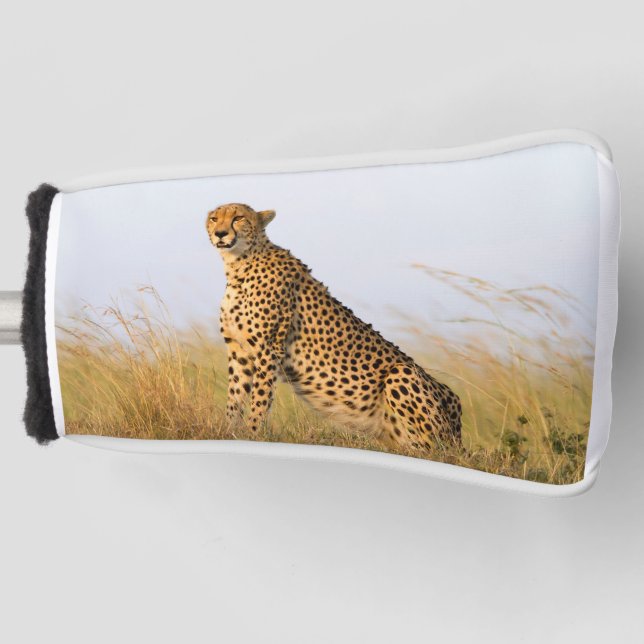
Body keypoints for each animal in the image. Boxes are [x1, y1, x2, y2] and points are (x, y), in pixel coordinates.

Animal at [206, 202, 461, 453]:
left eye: (238, 218)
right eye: (214, 219)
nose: (220, 233)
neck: (239, 264)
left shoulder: (268, 350)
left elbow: (259, 399)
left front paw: (252, 436)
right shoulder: (238, 350)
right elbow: (235, 396)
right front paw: (228, 432)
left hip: (402, 375)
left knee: (432, 449)